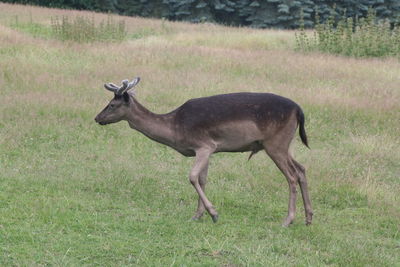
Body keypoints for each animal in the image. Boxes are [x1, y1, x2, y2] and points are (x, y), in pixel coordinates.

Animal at [94, 76, 312, 227]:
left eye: (112, 104)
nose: (97, 118)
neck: (175, 129)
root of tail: (299, 110)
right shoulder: (209, 149)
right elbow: (203, 179)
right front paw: (198, 215)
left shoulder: (205, 146)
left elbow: (192, 177)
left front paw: (213, 213)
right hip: (284, 144)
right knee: (302, 169)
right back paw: (309, 217)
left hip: (275, 143)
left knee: (291, 176)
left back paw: (288, 220)